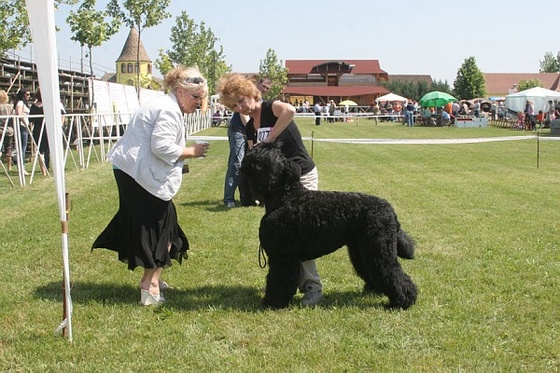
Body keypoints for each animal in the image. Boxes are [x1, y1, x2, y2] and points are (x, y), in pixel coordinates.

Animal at [241, 142, 416, 308]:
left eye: (265, 151)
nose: (250, 151)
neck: (286, 196)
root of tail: (390, 210)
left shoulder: (282, 256)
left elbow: (278, 282)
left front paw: (272, 302)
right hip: (362, 251)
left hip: (378, 249)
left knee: (393, 273)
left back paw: (403, 301)